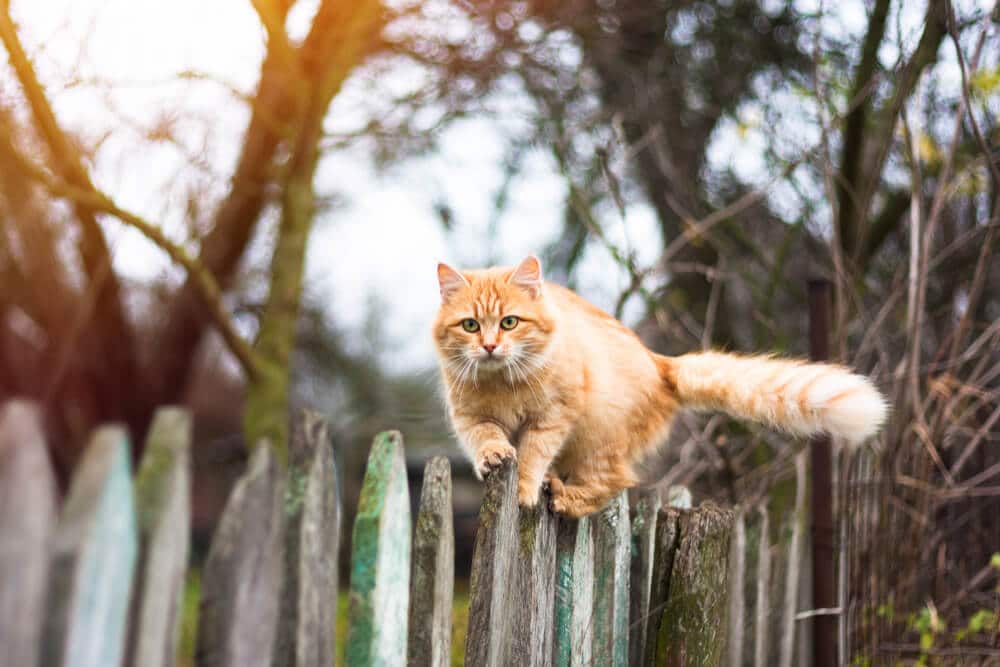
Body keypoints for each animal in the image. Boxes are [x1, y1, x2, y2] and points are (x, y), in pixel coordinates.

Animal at [434, 256, 888, 516]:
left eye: (510, 322)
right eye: (470, 325)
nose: (490, 346)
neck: (502, 383)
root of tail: (659, 363)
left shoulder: (554, 416)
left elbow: (531, 455)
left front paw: (526, 489)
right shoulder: (470, 418)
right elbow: (488, 438)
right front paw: (493, 456)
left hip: (598, 439)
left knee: (613, 483)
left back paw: (564, 498)